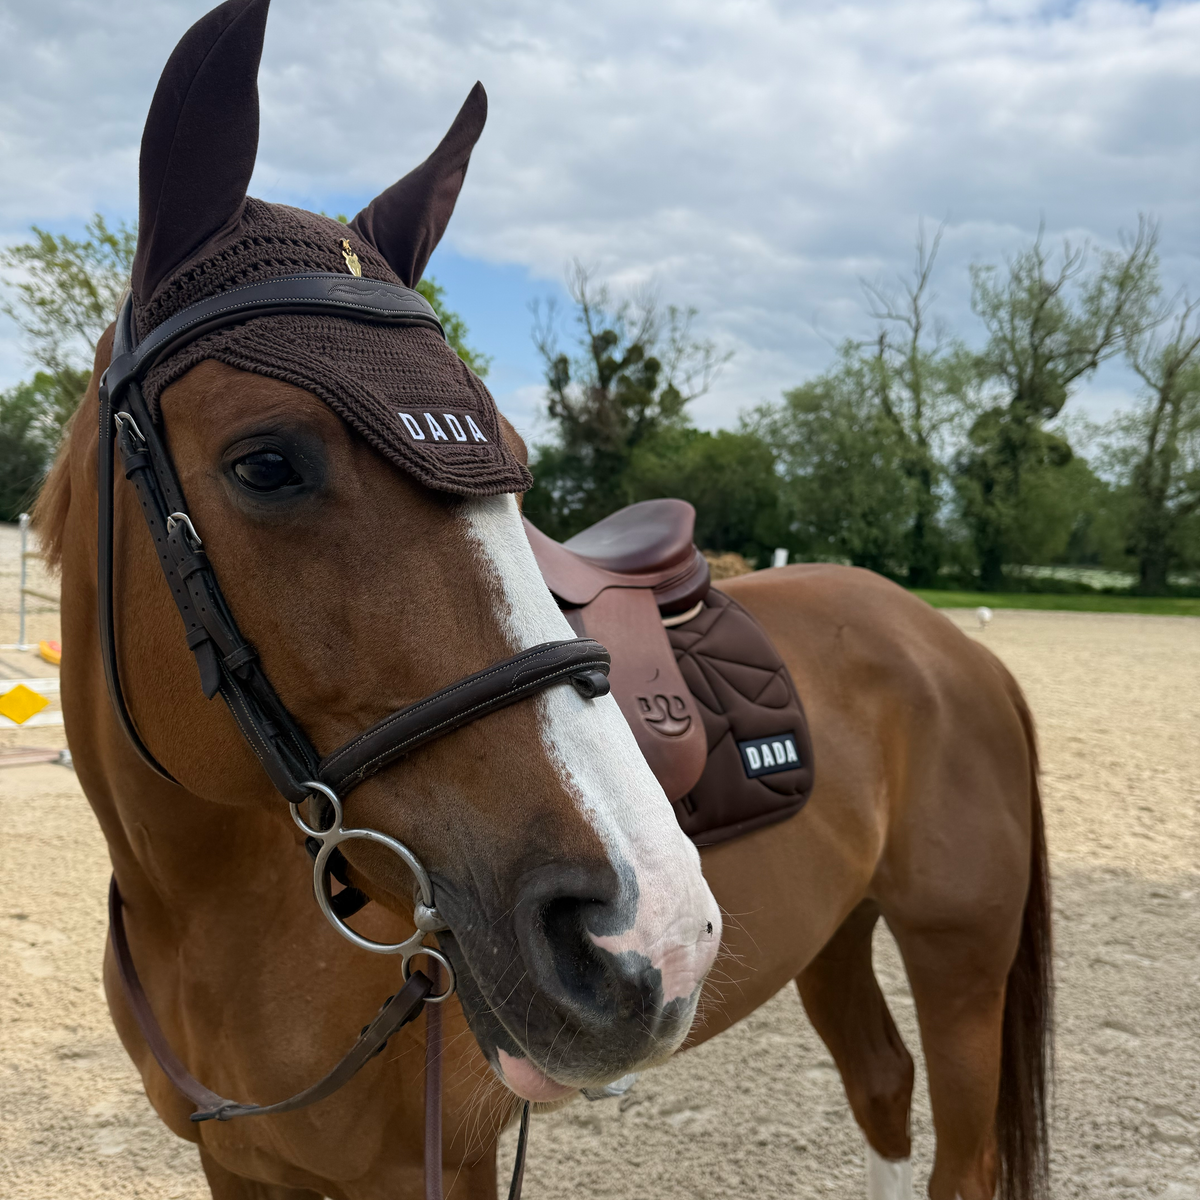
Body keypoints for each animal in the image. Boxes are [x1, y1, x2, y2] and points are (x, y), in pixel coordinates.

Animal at [34, 2, 1050, 1197]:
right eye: (267, 463)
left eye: (513, 461)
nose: (649, 934)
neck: (206, 915)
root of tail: (949, 644)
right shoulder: (240, 1169)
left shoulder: (441, 1164)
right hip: (842, 937)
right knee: (883, 1089)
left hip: (958, 962)